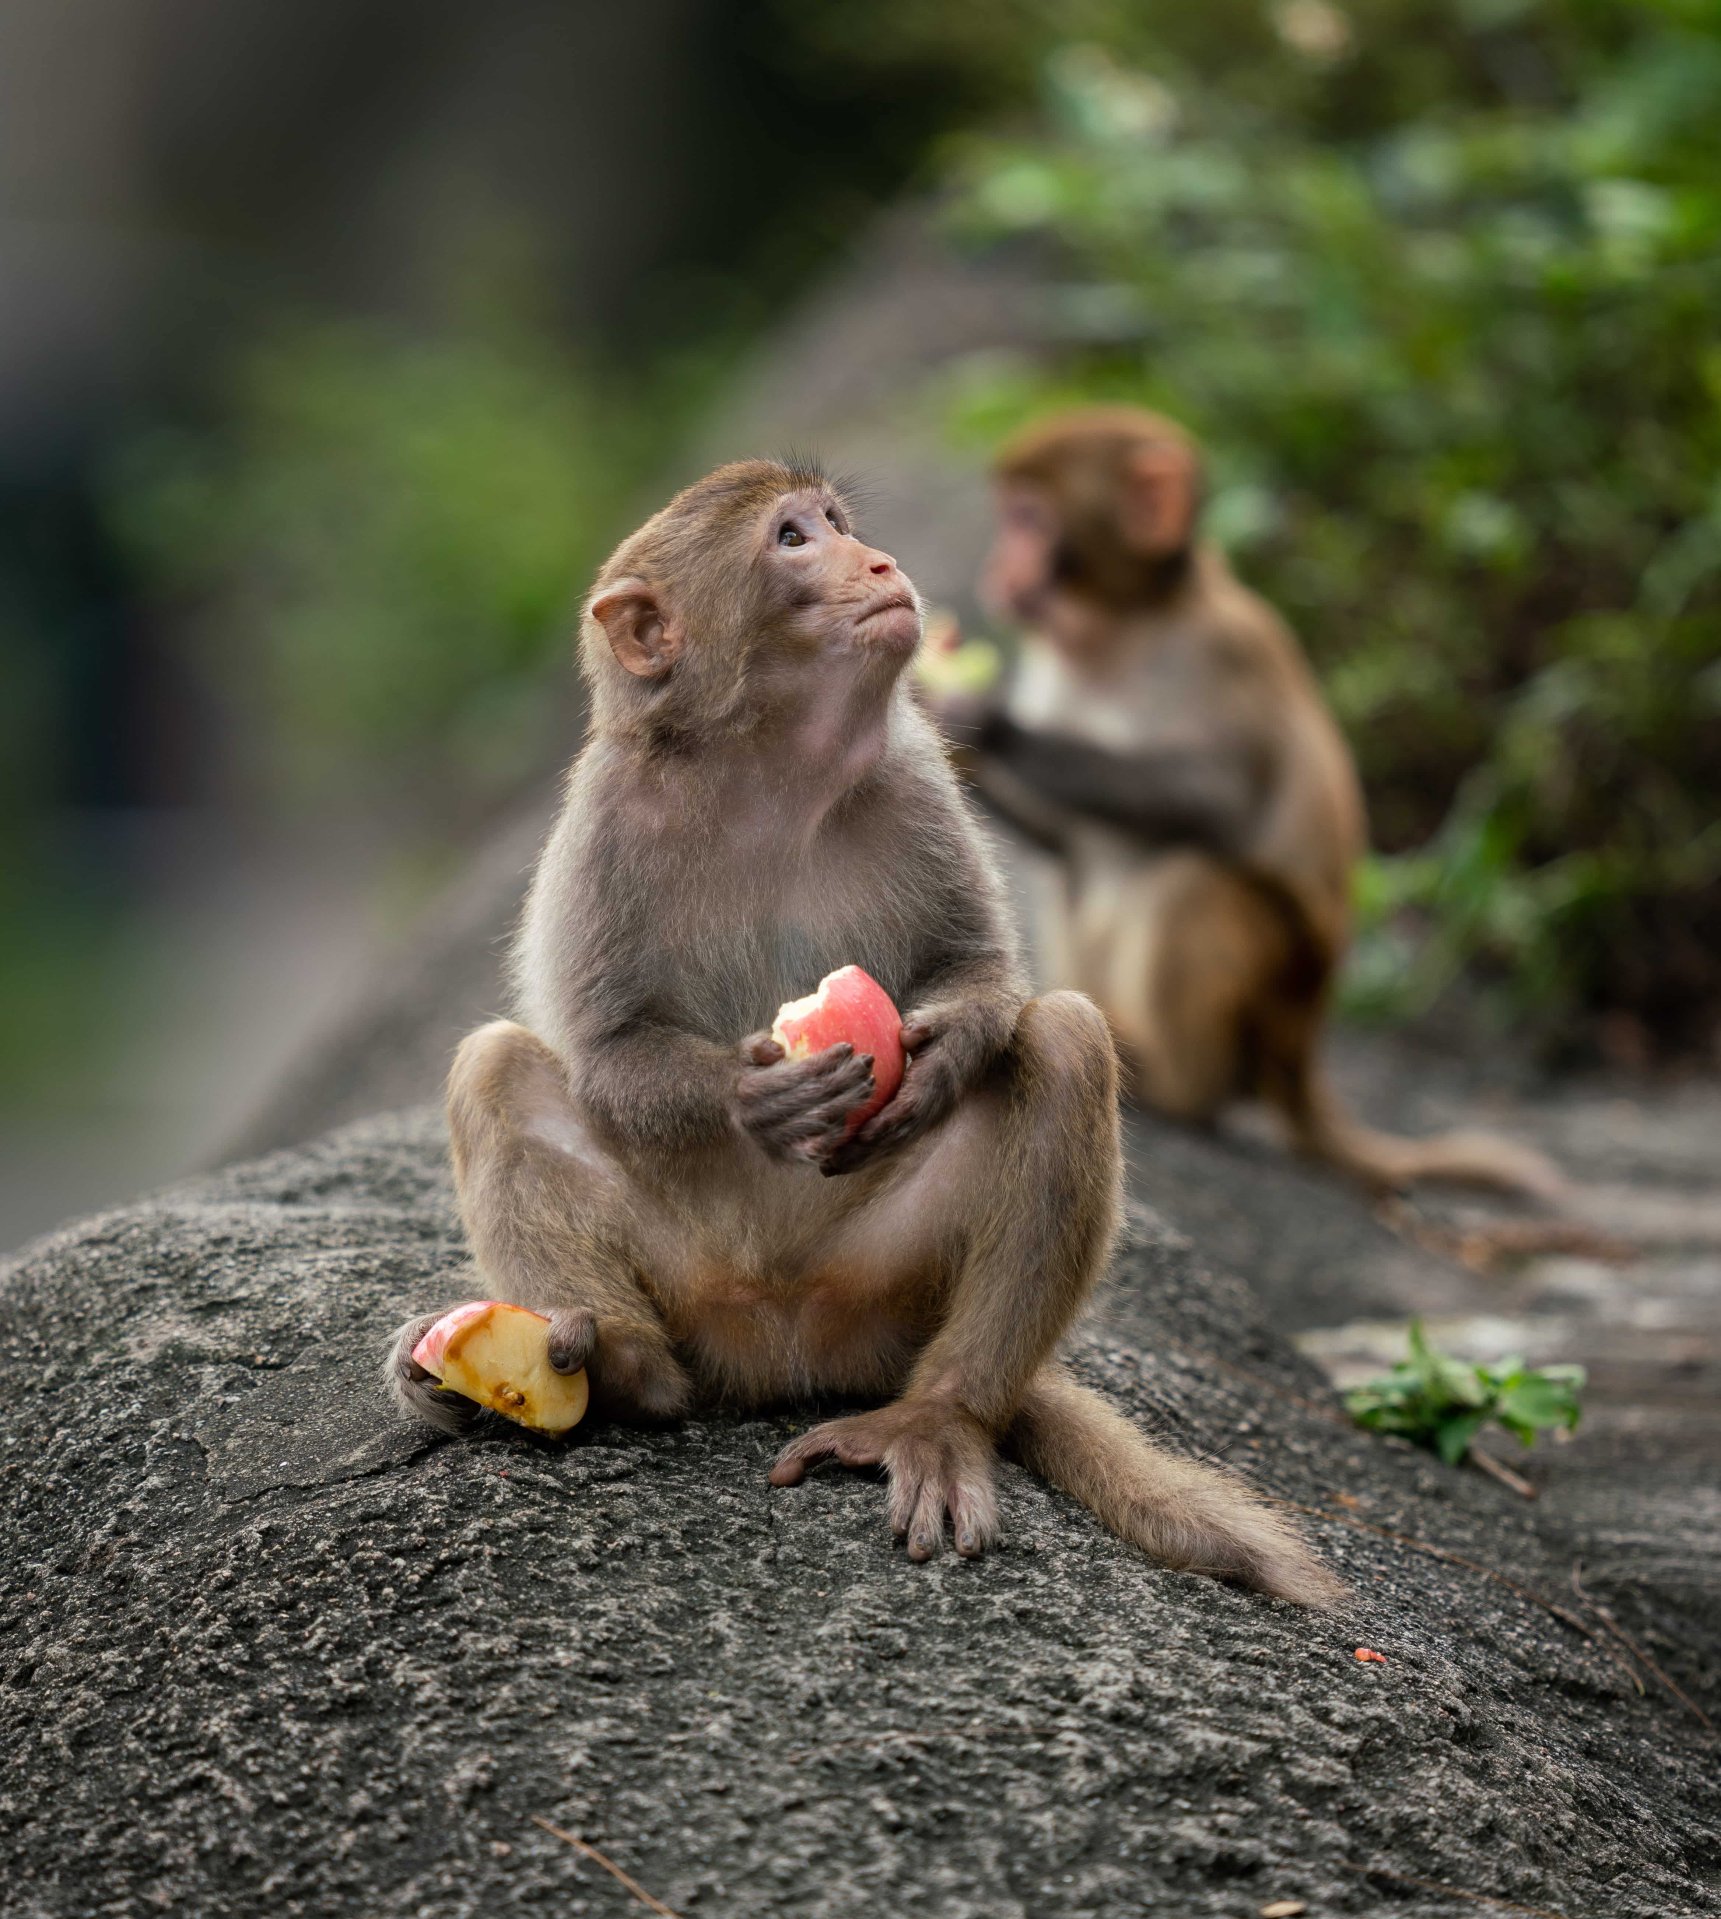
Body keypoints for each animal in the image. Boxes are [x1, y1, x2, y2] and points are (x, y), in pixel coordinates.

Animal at [385, 456, 1342, 1606]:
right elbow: (609, 1051)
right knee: (492, 1068)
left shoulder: (915, 772)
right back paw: (615, 1373)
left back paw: (937, 1416)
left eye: (835, 522)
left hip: (888, 1283)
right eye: (792, 538)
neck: (766, 770)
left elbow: (982, 967)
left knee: (1067, 1040)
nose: (878, 562)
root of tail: (784, 1345)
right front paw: (752, 1097)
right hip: (691, 1288)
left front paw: (942, 1056)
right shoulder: (603, 822)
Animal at [937, 405, 1560, 1198]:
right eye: (1008, 515)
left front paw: (983, 721)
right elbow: (1062, 840)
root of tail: (1300, 1051)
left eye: (1028, 518)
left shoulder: (1224, 650)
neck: (1118, 631)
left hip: (1274, 995)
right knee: (1075, 873)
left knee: (1194, 877)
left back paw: (1167, 1083)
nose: (998, 566)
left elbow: (1219, 799)